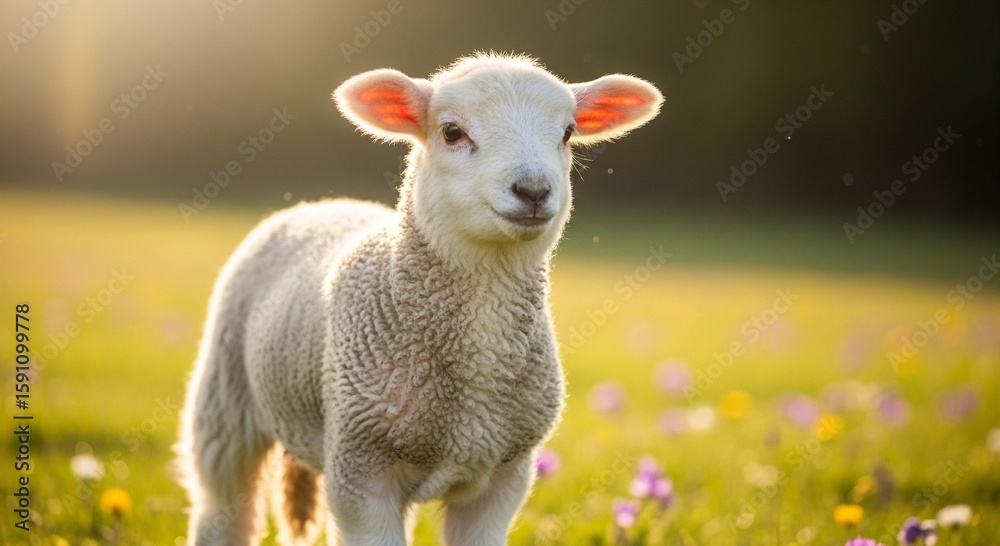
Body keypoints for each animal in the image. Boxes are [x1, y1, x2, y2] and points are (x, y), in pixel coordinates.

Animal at [176, 52, 663, 546]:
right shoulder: (361, 470)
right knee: (221, 507)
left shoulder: (505, 472)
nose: (533, 191)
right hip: (225, 401)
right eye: (451, 132)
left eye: (566, 133)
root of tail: (320, 204)